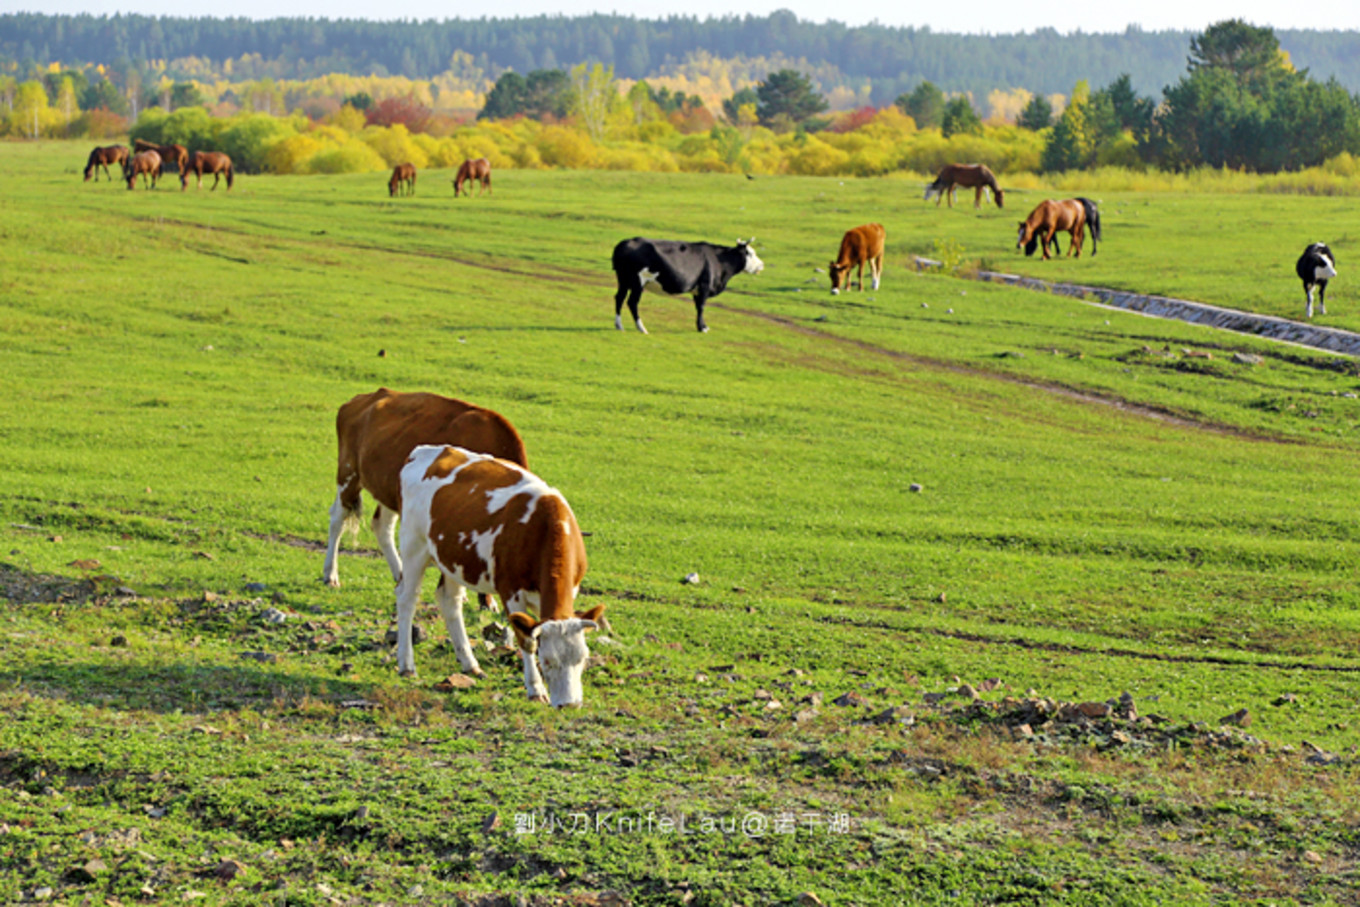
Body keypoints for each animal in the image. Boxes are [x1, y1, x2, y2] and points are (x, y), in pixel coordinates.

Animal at [320, 388, 527, 590]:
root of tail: (361, 399)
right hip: (348, 473)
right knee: (338, 518)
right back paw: (331, 574)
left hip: (388, 487)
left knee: (381, 525)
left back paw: (400, 573)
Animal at [394, 443, 606, 712]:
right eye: (547, 660)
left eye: (583, 658)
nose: (568, 704)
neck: (545, 526)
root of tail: (428, 449)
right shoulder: (510, 590)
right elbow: (527, 641)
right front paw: (536, 690)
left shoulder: (569, 591)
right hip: (414, 545)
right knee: (407, 598)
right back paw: (407, 666)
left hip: (453, 558)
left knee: (449, 600)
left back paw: (470, 664)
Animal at [614, 233, 767, 333]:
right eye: (751, 253)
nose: (762, 264)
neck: (718, 261)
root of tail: (626, 242)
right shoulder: (705, 286)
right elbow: (701, 307)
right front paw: (702, 328)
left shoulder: (696, 289)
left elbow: (697, 307)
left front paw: (703, 326)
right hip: (638, 281)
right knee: (632, 302)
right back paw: (642, 328)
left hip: (623, 280)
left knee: (619, 298)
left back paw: (619, 326)